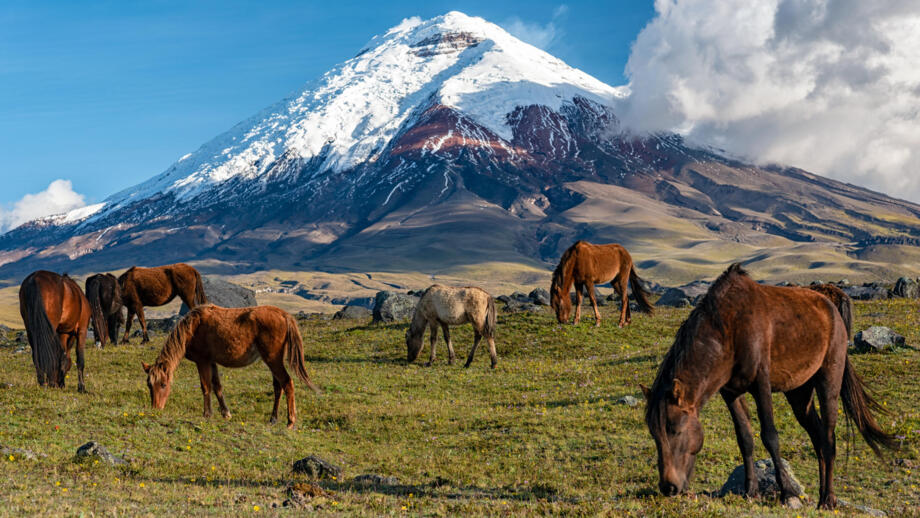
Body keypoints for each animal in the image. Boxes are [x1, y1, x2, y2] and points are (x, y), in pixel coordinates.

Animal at [142, 304, 319, 429]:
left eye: (163, 384)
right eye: (149, 385)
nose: (156, 409)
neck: (193, 327)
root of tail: (284, 315)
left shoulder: (203, 361)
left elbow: (205, 387)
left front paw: (207, 414)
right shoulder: (212, 362)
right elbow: (217, 386)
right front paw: (226, 413)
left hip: (273, 359)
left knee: (287, 383)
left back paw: (290, 421)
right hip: (273, 360)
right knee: (278, 387)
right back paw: (273, 419)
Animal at [642, 264, 896, 510]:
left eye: (675, 429)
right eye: (654, 433)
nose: (668, 487)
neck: (729, 330)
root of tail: (830, 304)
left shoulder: (761, 385)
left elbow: (770, 436)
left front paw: (788, 493)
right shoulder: (730, 392)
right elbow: (744, 437)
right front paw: (751, 491)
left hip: (828, 381)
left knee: (828, 438)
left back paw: (828, 499)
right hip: (799, 393)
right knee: (817, 437)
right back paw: (822, 496)